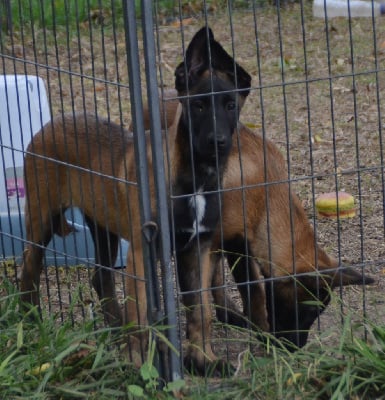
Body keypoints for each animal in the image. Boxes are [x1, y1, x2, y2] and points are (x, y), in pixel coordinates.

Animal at [19, 26, 250, 376]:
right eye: (197, 107)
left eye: (230, 106)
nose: (217, 142)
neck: (195, 178)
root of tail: (49, 125)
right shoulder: (143, 250)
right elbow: (140, 316)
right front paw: (138, 366)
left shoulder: (197, 248)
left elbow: (202, 312)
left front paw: (202, 360)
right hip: (41, 217)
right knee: (29, 268)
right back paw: (31, 324)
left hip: (103, 227)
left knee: (101, 276)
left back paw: (114, 326)